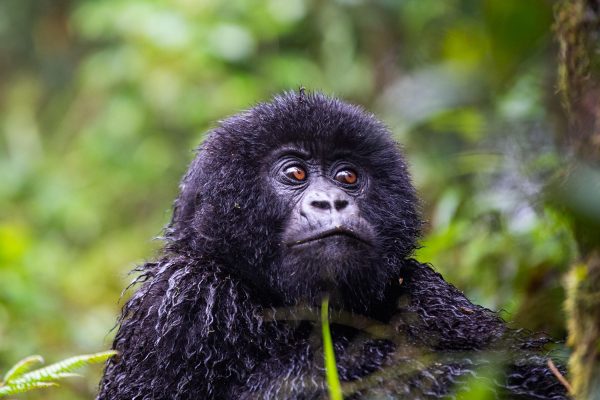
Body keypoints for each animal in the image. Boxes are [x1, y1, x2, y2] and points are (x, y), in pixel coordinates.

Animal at [98, 91, 568, 400]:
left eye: (347, 177)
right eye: (295, 174)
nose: (332, 202)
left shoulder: (429, 295)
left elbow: (533, 373)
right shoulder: (182, 300)